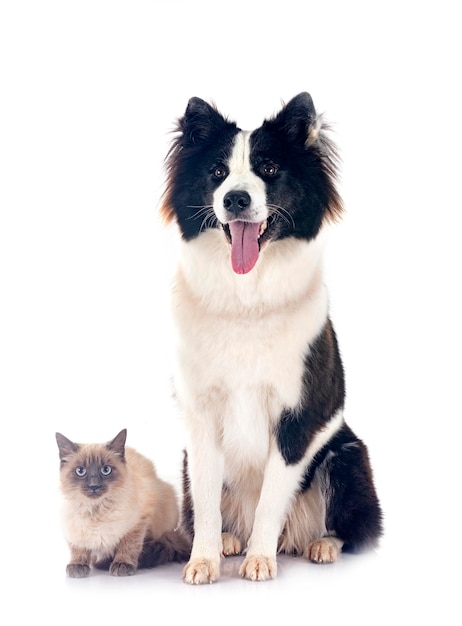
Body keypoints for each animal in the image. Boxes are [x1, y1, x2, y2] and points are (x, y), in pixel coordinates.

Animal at [56, 428, 190, 576]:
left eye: (106, 470)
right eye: (80, 471)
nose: (94, 485)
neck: (96, 510)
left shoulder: (138, 523)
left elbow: (128, 546)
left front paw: (122, 565)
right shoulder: (73, 530)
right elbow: (78, 549)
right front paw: (77, 566)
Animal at [159, 91, 382, 580]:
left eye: (269, 168)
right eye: (217, 172)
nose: (235, 199)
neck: (247, 300)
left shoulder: (297, 415)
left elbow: (271, 498)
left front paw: (260, 558)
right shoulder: (200, 417)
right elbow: (206, 500)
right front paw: (203, 560)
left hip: (346, 455)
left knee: (351, 528)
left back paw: (320, 544)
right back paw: (229, 540)